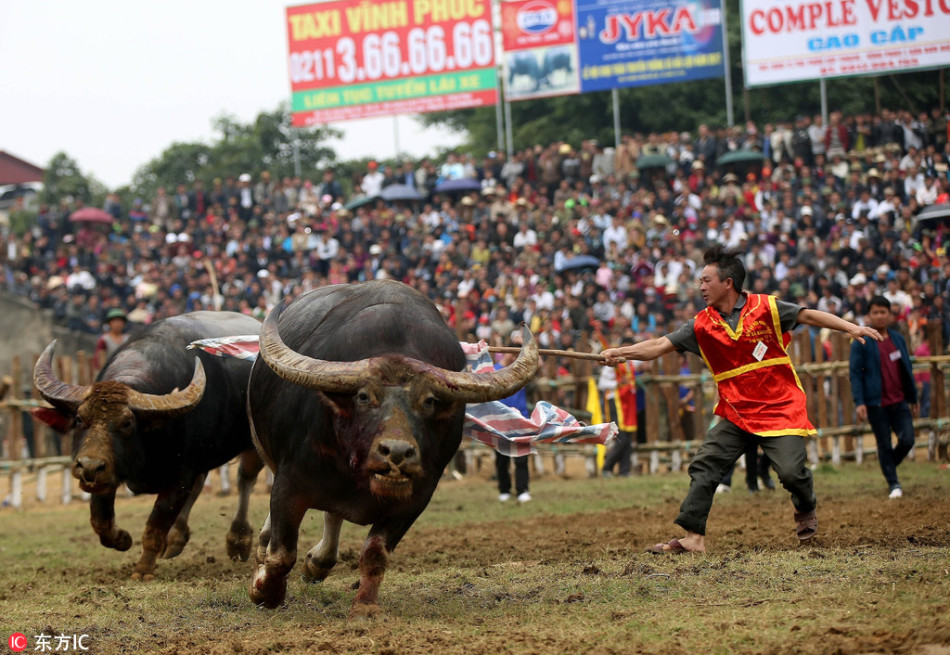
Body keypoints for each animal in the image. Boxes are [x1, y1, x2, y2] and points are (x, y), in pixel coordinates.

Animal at [34, 312, 264, 580]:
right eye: (80, 419)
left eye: (127, 423)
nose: (88, 466)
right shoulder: (107, 472)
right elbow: (100, 520)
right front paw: (122, 539)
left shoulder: (180, 475)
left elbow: (155, 525)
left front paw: (143, 569)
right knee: (201, 485)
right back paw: (176, 538)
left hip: (253, 445)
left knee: (245, 478)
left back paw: (238, 540)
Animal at [249, 280, 540, 616]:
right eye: (363, 397)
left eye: (429, 401)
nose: (398, 453)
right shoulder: (291, 481)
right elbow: (282, 553)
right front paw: (265, 592)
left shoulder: (416, 497)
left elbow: (375, 554)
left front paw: (365, 605)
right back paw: (264, 546)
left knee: (333, 518)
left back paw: (318, 562)